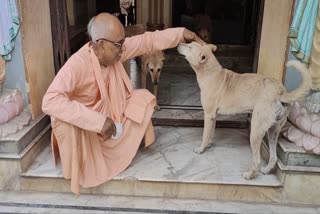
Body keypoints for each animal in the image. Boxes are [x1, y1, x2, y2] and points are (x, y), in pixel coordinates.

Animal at [176, 41, 312, 179]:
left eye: (189, 47)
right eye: (190, 43)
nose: (178, 43)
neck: (212, 74)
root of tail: (281, 92)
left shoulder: (208, 115)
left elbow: (205, 135)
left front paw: (201, 149)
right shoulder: (213, 116)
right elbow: (211, 133)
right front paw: (209, 144)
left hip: (256, 130)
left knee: (257, 161)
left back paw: (249, 175)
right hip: (273, 131)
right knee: (274, 157)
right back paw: (266, 170)